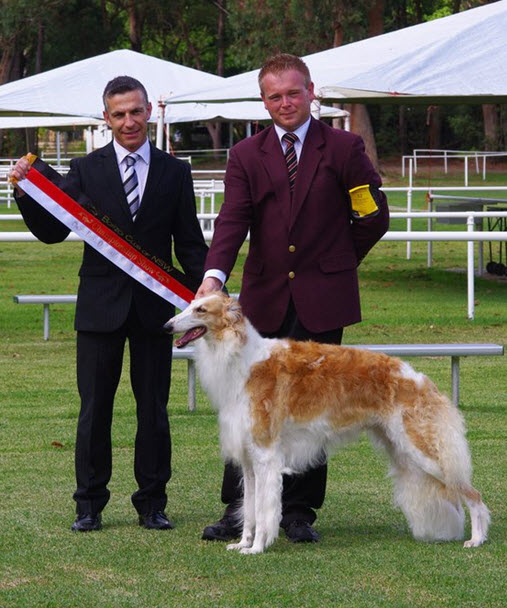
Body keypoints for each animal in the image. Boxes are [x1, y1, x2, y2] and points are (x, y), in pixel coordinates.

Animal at [165, 292, 490, 552]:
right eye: (190, 305)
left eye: (200, 310)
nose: (167, 326)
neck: (242, 360)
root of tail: (419, 378)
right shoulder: (248, 457)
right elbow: (249, 510)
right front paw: (242, 543)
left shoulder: (266, 455)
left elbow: (264, 509)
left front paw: (257, 548)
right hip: (402, 446)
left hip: (422, 449)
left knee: (473, 495)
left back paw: (476, 539)